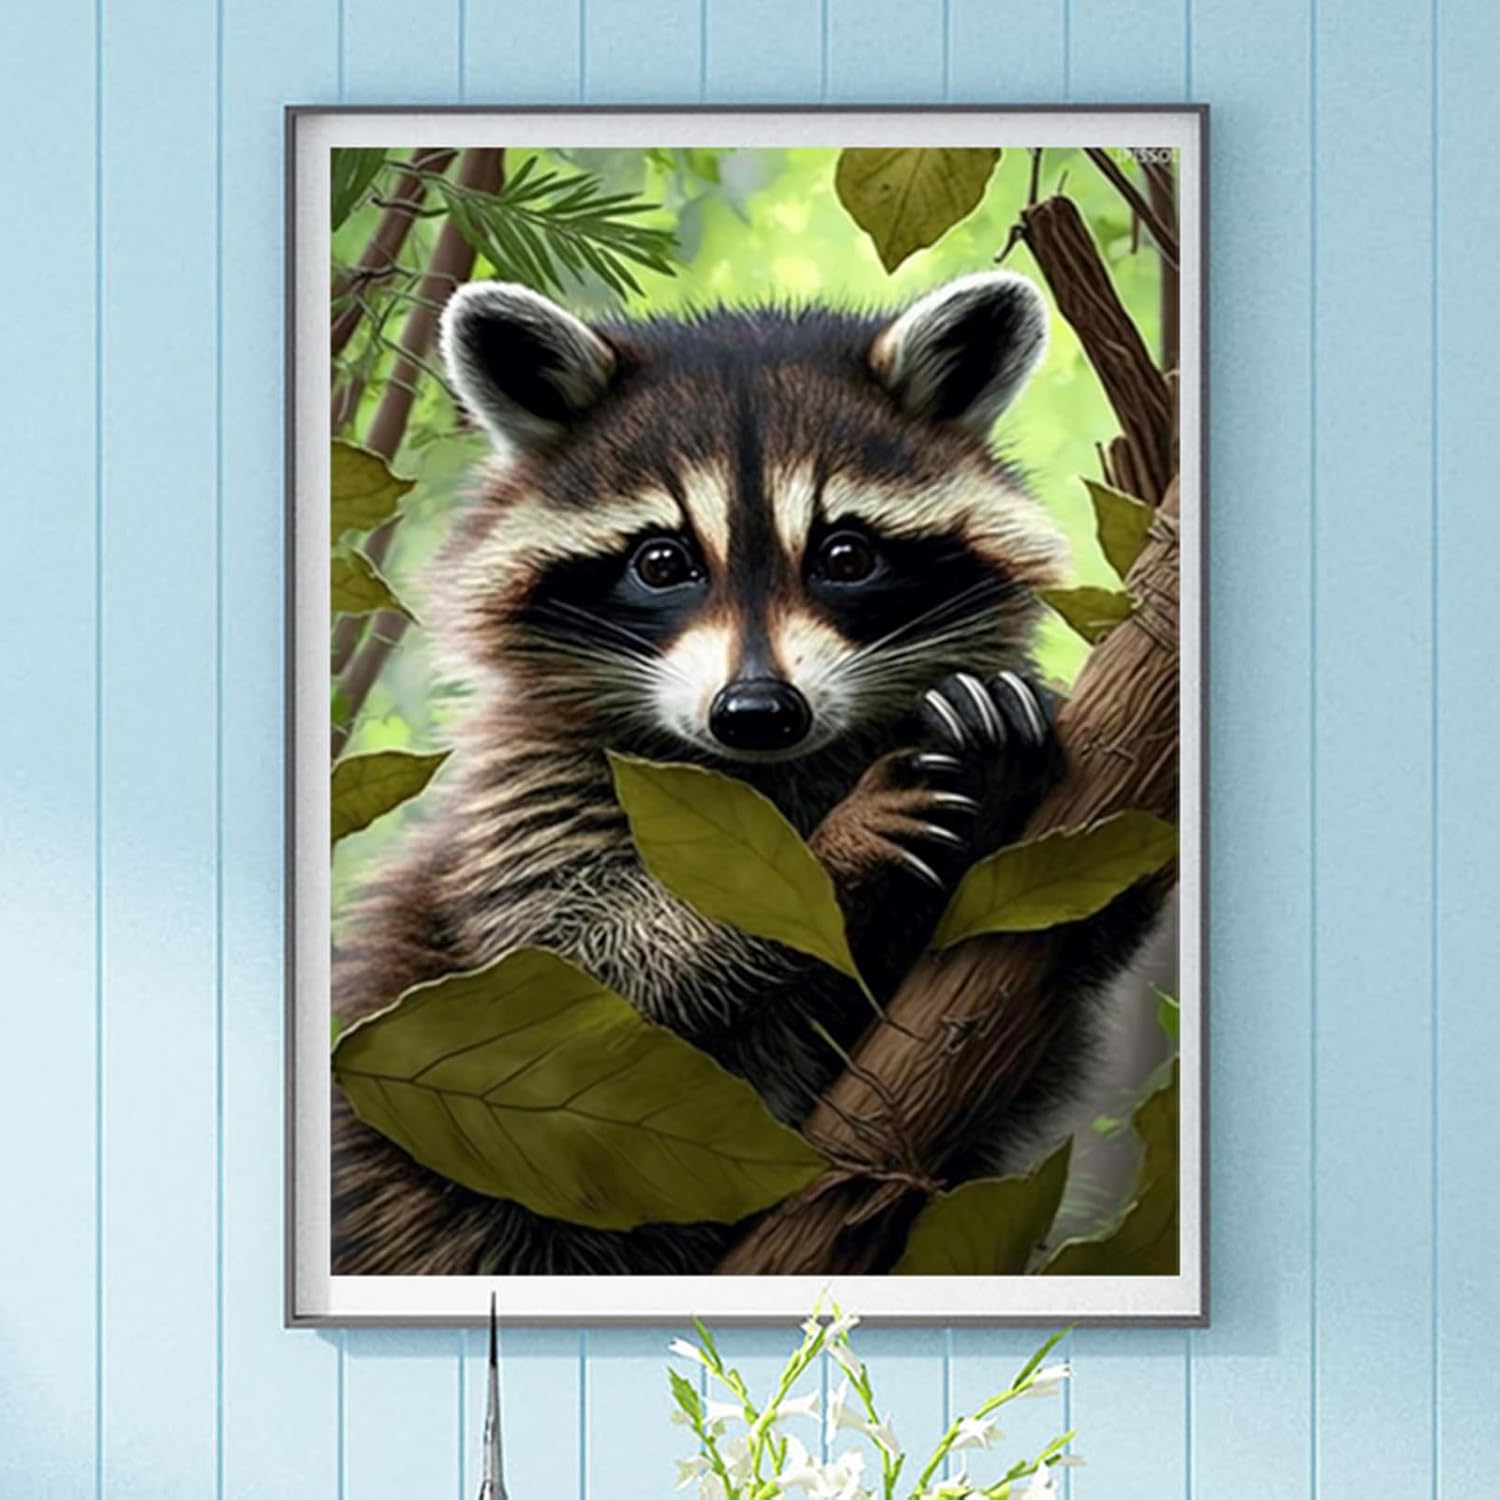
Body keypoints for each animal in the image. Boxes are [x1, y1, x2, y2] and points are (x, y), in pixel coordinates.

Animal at [332, 271, 1111, 1276]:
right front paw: (834, 849)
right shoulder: (531, 788)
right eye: (662, 562)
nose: (757, 712)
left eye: (846, 556)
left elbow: (1040, 1005)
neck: (770, 769)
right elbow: (566, 972)